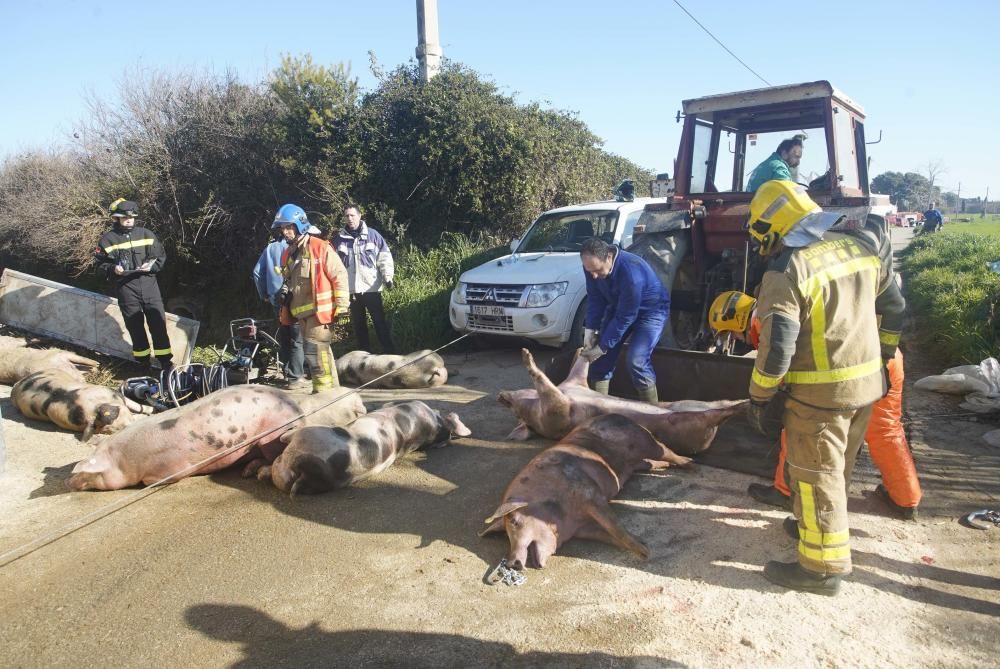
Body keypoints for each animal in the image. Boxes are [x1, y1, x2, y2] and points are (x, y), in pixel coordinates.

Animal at [480, 414, 692, 568]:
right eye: (506, 534)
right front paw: (644, 543)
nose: (510, 563)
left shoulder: (589, 493)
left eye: (514, 521)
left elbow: (615, 527)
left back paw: (690, 465)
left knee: (665, 450)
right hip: (639, 463)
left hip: (645, 441)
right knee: (651, 463)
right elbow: (608, 535)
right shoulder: (583, 529)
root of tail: (619, 415)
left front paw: (645, 553)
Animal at [496, 350, 748, 454]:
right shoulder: (557, 411)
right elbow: (546, 384)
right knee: (714, 415)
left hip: (688, 402)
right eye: (516, 413)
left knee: (719, 401)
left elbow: (580, 366)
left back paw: (744, 400)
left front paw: (584, 347)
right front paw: (526, 355)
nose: (501, 397)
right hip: (690, 425)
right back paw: (741, 408)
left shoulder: (575, 384)